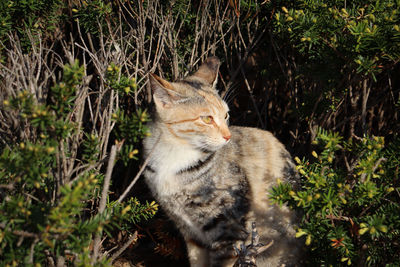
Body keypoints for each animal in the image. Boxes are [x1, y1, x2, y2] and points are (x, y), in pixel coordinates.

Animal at [142, 57, 302, 266]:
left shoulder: (228, 227)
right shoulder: (189, 231)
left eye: (225, 115)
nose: (228, 136)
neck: (175, 156)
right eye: (207, 119)